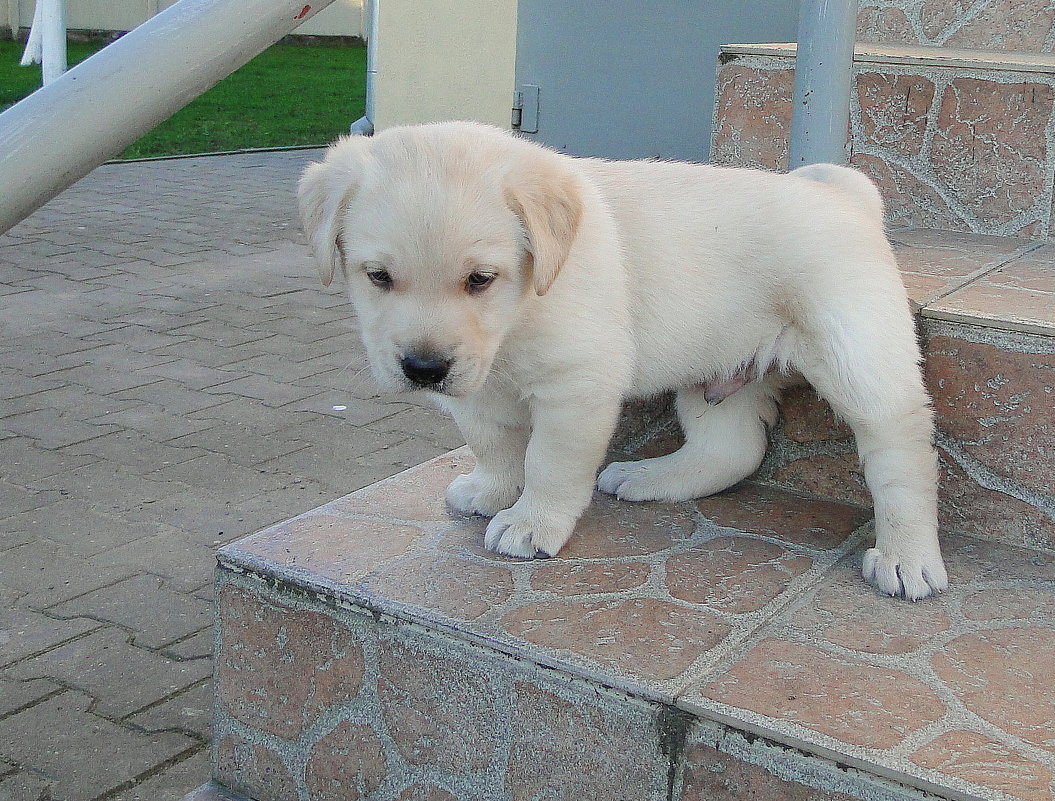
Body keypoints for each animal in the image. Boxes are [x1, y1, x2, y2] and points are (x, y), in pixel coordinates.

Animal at [297, 122, 949, 599]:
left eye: (480, 279)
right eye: (378, 277)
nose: (423, 369)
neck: (518, 317)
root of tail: (843, 193)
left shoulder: (575, 386)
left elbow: (549, 463)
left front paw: (532, 522)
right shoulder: (478, 389)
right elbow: (493, 443)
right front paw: (492, 489)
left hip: (857, 353)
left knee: (903, 449)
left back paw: (907, 557)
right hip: (715, 365)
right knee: (731, 450)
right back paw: (650, 477)